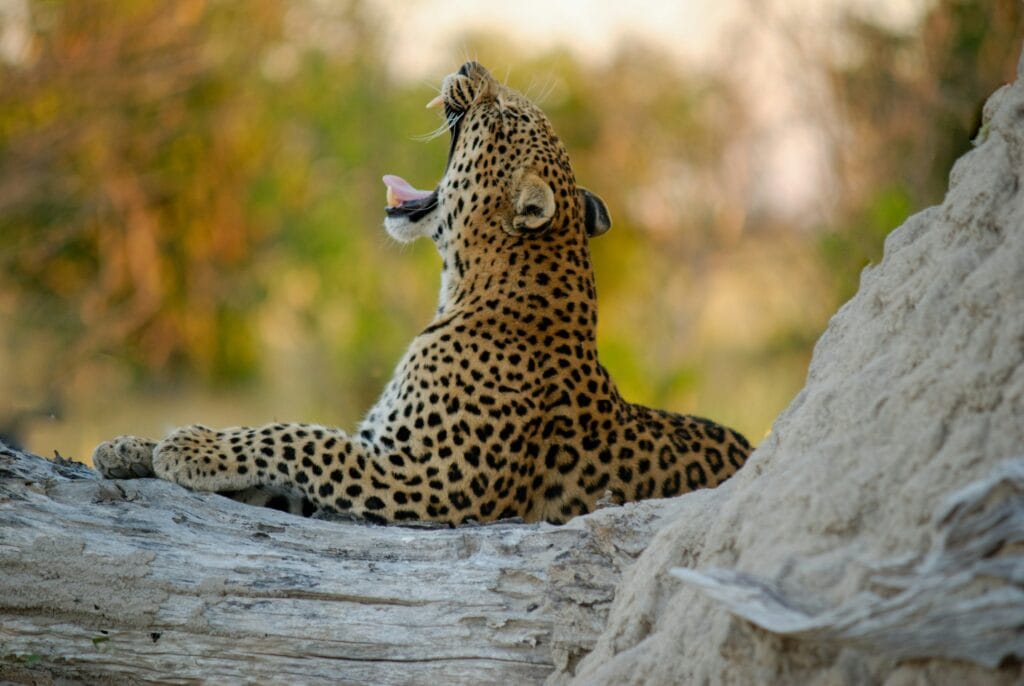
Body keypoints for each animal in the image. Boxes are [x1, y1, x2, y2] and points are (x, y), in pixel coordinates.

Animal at [93, 62, 753, 525]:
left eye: (504, 113)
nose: (468, 64)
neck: (465, 286)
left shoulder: (426, 481)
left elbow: (302, 436)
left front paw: (189, 444)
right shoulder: (374, 454)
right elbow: (280, 461)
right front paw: (130, 446)